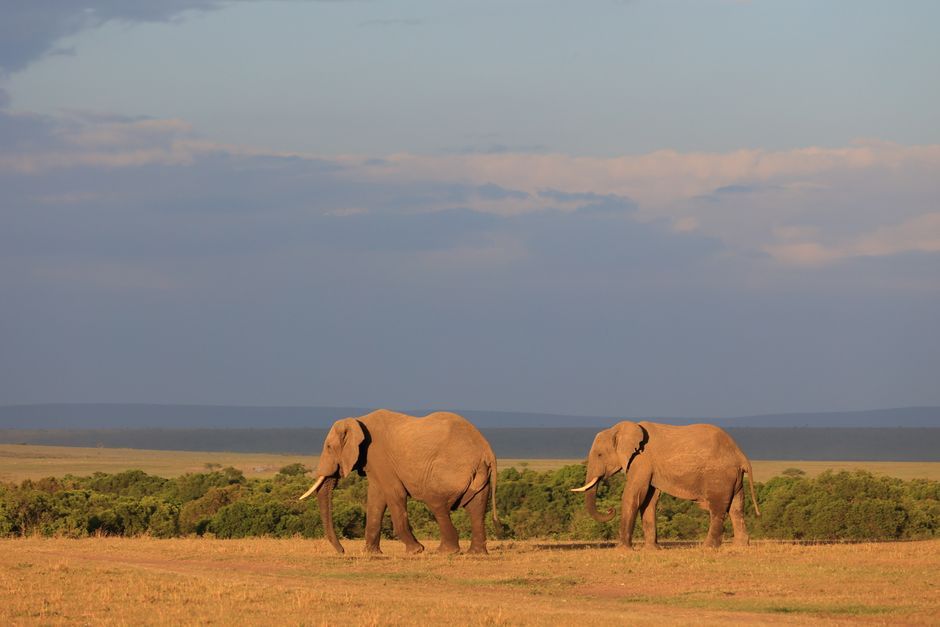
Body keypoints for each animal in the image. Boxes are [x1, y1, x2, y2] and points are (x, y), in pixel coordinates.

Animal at [299, 409, 499, 555]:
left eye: (329, 447)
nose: (343, 551)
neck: (358, 420)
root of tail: (487, 450)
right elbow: (376, 498)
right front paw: (371, 554)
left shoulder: (378, 455)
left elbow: (394, 494)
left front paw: (416, 551)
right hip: (478, 475)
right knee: (477, 508)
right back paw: (476, 553)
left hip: (450, 470)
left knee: (436, 503)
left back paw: (445, 552)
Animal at [571, 421, 760, 549]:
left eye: (600, 455)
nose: (610, 510)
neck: (621, 428)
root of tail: (741, 455)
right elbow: (649, 500)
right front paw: (652, 550)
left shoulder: (641, 460)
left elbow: (633, 496)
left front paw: (623, 550)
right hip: (734, 478)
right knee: (737, 508)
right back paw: (740, 546)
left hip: (719, 475)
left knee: (718, 509)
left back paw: (707, 547)